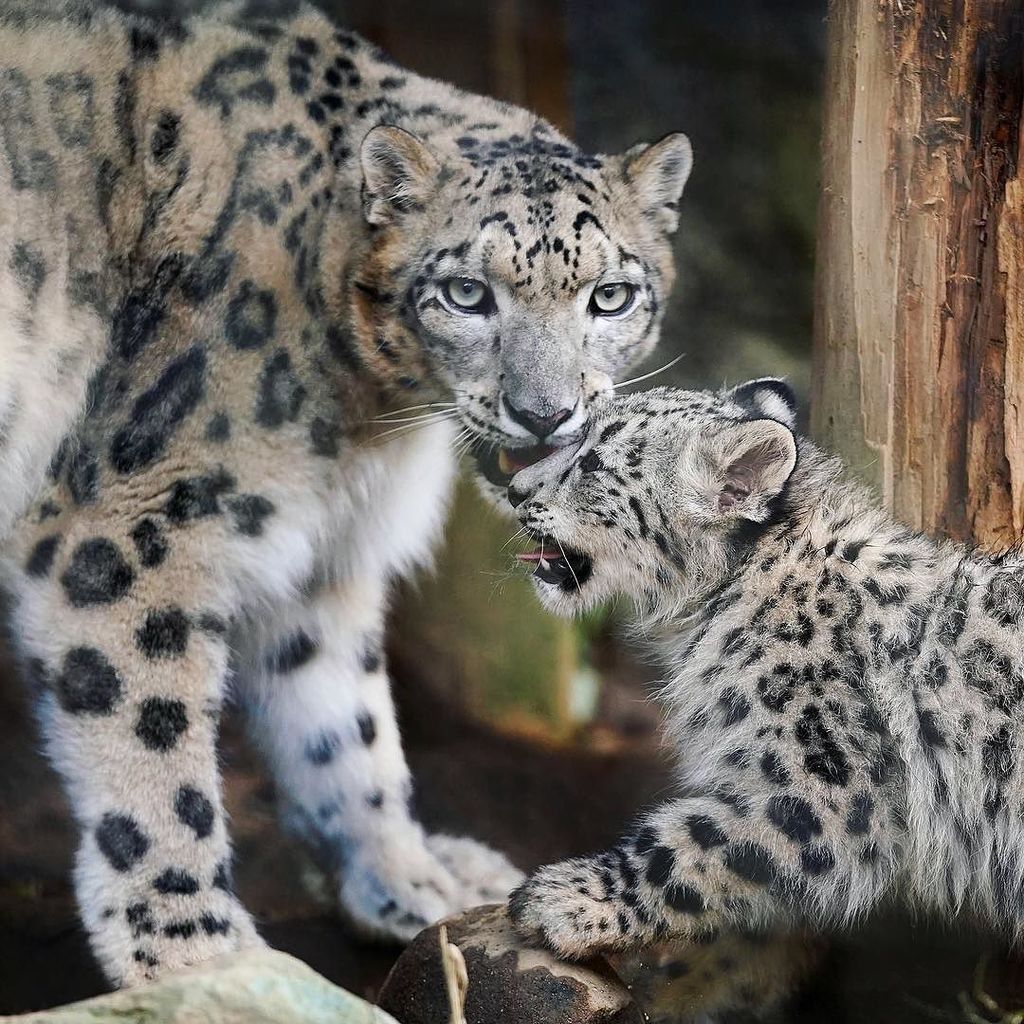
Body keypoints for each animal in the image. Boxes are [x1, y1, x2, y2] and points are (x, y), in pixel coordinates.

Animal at [0, 0, 696, 991]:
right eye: (466, 293)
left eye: (608, 296)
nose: (544, 412)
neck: (364, 424)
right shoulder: (125, 529)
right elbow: (150, 739)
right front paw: (196, 949)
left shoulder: (316, 551)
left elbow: (346, 725)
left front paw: (411, 881)